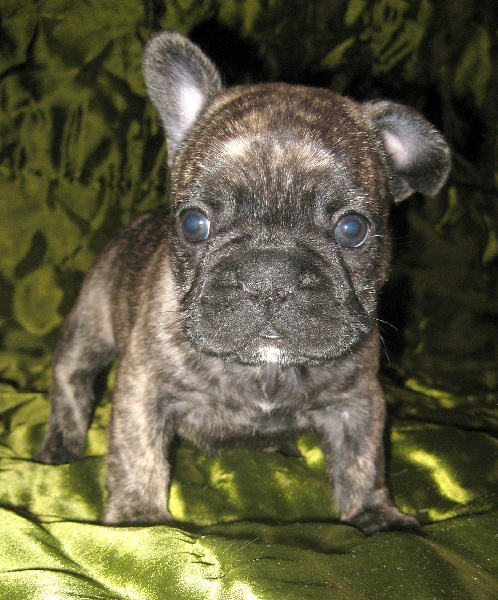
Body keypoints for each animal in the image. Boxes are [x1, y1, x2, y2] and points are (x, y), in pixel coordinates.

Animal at [37, 31, 452, 536]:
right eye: (193, 223)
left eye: (353, 229)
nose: (268, 276)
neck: (265, 371)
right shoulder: (143, 389)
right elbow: (137, 454)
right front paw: (139, 521)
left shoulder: (357, 401)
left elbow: (363, 459)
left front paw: (376, 516)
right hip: (90, 323)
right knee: (71, 380)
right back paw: (60, 448)